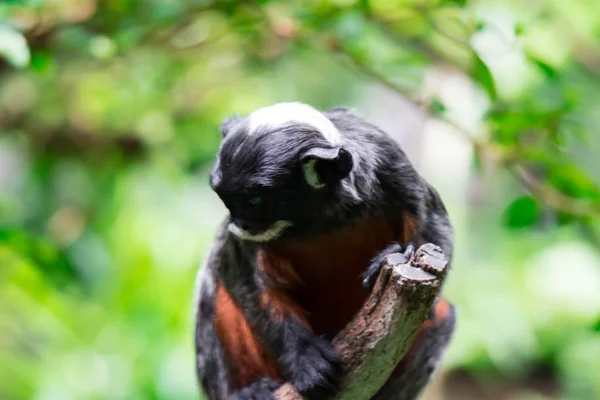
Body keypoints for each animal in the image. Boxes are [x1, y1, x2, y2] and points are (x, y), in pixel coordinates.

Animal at [193, 101, 454, 398]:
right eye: (227, 200)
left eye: (254, 201)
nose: (240, 224)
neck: (319, 220)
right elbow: (243, 278)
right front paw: (303, 356)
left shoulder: (393, 166)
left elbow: (435, 224)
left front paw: (397, 257)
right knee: (212, 284)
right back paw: (246, 392)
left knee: (445, 316)